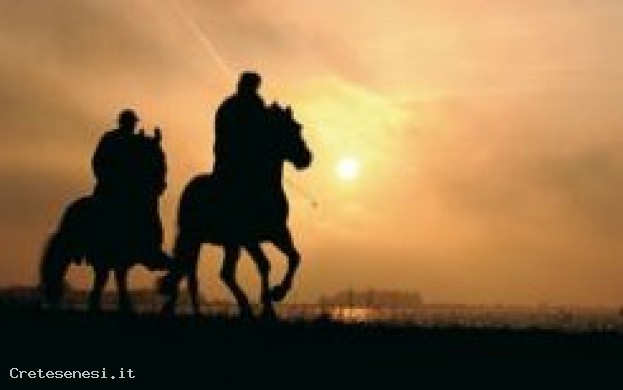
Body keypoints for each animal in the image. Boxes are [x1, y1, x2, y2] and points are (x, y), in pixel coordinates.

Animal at [39, 129, 172, 312]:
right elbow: (114, 278)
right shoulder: (120, 256)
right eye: (153, 156)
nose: (162, 185)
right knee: (61, 271)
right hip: (75, 250)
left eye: (162, 156)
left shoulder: (145, 255)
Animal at [160, 103, 312, 320]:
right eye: (290, 129)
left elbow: (295, 257)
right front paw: (270, 303)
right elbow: (265, 264)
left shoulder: (278, 232)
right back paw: (191, 311)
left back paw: (241, 308)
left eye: (298, 127)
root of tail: (190, 188)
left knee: (222, 273)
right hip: (194, 238)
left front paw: (277, 294)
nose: (307, 158)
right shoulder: (249, 239)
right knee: (190, 272)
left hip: (229, 244)